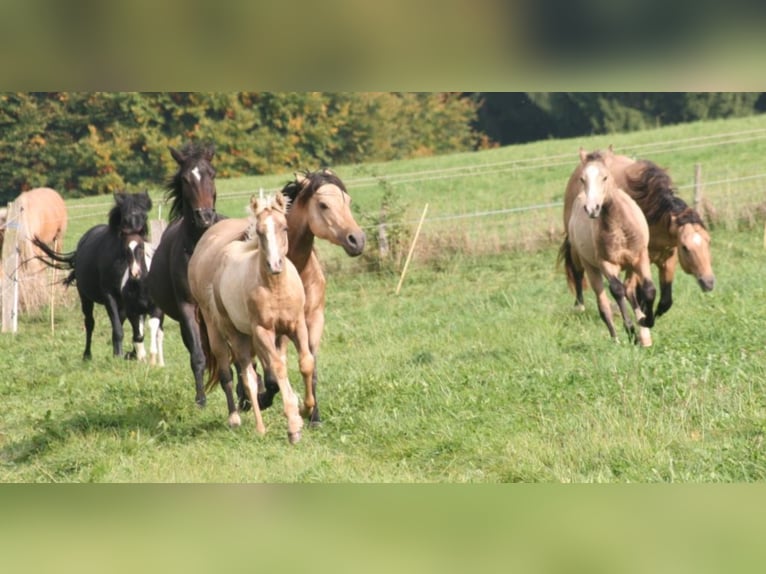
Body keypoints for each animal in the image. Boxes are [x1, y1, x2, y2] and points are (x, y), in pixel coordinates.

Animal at [33, 191, 155, 359]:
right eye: (125, 217)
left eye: (144, 216)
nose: (135, 234)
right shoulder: (109, 296)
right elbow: (118, 329)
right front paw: (120, 356)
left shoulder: (131, 301)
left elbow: (135, 328)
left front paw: (130, 354)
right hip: (85, 297)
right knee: (90, 323)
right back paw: (87, 355)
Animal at [146, 142, 220, 406]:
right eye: (186, 179)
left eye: (212, 174)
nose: (205, 216)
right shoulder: (187, 307)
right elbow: (197, 355)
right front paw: (200, 399)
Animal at [189, 192, 313, 443]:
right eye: (260, 231)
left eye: (285, 227)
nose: (275, 265)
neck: (275, 287)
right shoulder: (263, 331)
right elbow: (278, 369)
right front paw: (293, 426)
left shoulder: (295, 326)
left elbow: (305, 363)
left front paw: (305, 409)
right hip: (229, 334)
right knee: (242, 375)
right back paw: (248, 423)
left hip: (249, 337)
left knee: (251, 375)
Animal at [562, 146, 714, 318]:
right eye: (685, 247)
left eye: (708, 241)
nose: (709, 282)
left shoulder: (667, 258)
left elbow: (665, 301)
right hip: (577, 246)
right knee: (578, 271)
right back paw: (579, 306)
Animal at [562, 149, 656, 346]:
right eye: (582, 179)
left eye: (605, 177)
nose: (592, 209)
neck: (619, 226)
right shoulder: (606, 264)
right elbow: (617, 291)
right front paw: (630, 331)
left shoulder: (640, 257)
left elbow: (648, 290)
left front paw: (646, 323)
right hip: (590, 267)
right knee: (604, 304)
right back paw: (616, 339)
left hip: (630, 266)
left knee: (630, 290)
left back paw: (644, 333)